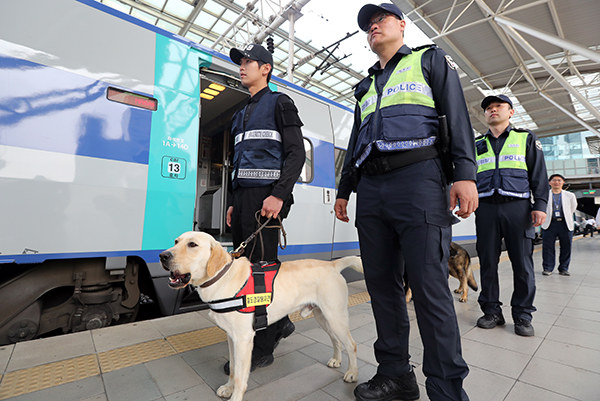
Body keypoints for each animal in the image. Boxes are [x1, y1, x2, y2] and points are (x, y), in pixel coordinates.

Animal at [159, 231, 364, 400]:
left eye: (192, 244)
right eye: (176, 241)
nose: (163, 256)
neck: (221, 276)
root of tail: (332, 263)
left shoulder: (243, 338)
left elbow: (241, 376)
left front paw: (235, 396)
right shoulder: (231, 337)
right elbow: (233, 368)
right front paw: (228, 388)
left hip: (335, 316)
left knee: (352, 344)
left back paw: (352, 374)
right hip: (323, 317)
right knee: (336, 340)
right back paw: (336, 360)